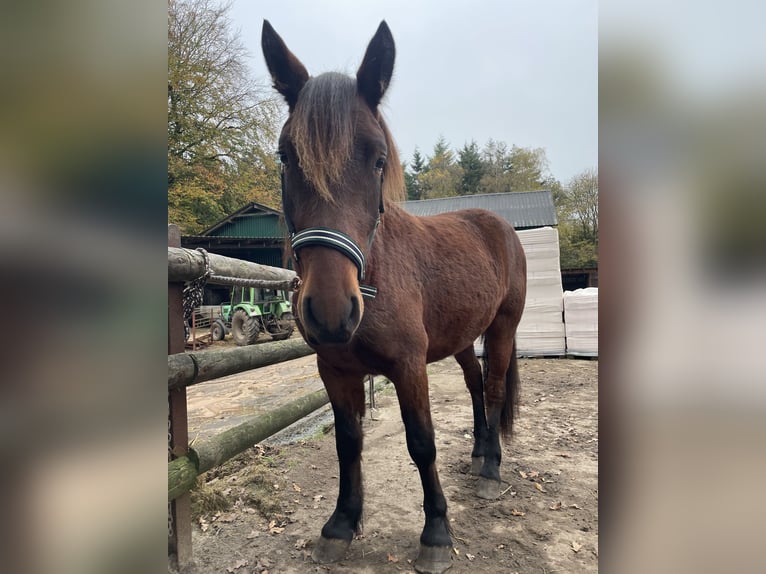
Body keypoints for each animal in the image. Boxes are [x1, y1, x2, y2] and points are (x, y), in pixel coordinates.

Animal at [262, 20, 528, 572]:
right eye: (286, 157)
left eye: (378, 159)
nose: (331, 312)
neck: (375, 277)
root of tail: (498, 226)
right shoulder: (335, 370)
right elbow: (347, 443)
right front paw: (342, 523)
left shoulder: (409, 367)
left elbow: (422, 443)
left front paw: (437, 532)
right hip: (461, 338)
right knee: (475, 387)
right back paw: (477, 452)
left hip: (503, 327)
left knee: (493, 389)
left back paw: (491, 469)